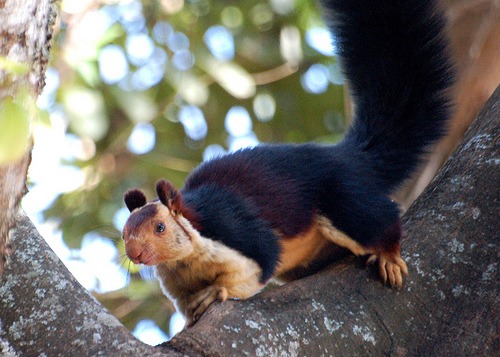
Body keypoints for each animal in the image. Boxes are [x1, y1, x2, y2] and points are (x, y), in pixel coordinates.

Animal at [121, 0, 454, 326]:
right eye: (124, 233)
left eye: (160, 228)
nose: (134, 253)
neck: (184, 259)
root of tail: (348, 157)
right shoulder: (177, 283)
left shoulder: (235, 231)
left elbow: (261, 262)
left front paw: (217, 291)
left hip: (342, 200)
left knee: (379, 217)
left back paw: (389, 255)